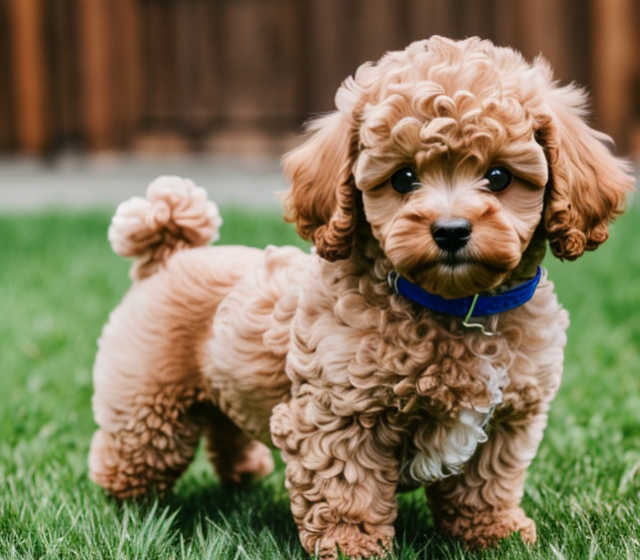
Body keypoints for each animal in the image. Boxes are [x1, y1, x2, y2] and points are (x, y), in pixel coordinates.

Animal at [90, 37, 636, 556]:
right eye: (404, 179)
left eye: (499, 176)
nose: (451, 230)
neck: (454, 306)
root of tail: (170, 252)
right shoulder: (337, 416)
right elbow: (347, 489)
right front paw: (351, 547)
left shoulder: (506, 421)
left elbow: (485, 485)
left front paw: (496, 536)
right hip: (149, 400)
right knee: (136, 451)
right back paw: (129, 510)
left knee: (223, 425)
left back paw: (243, 472)